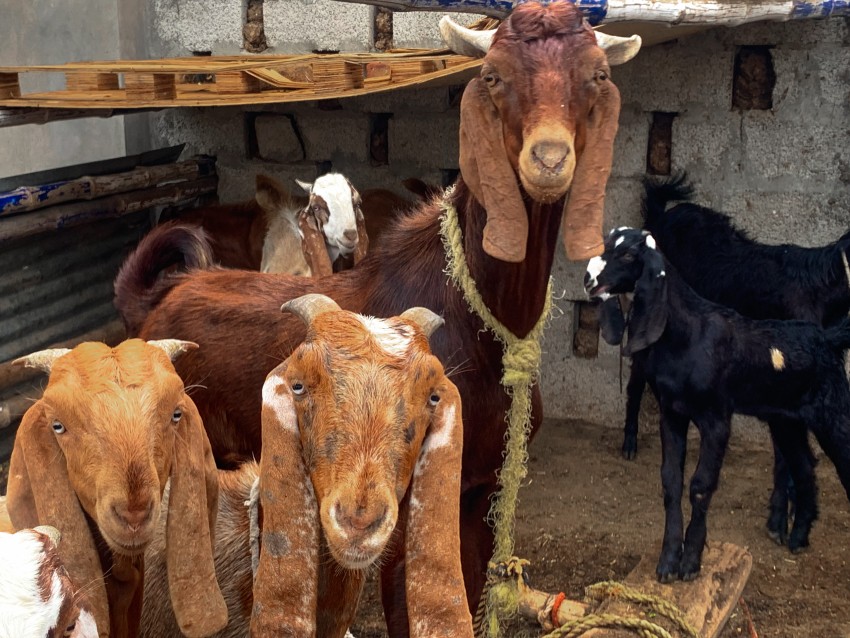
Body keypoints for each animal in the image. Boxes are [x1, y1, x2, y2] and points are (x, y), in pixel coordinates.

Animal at [585, 227, 850, 582]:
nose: (588, 279)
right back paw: (797, 537)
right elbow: (671, 481)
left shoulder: (716, 419)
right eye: (605, 241)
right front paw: (668, 561)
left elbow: (700, 485)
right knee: (805, 465)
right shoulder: (672, 413)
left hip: (834, 413)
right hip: (786, 421)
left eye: (628, 254)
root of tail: (826, 337)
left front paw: (691, 562)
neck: (688, 334)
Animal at [621, 176, 850, 546]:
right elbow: (783, 457)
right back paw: (629, 441)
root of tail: (662, 216)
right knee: (636, 380)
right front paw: (778, 520)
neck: (822, 289)